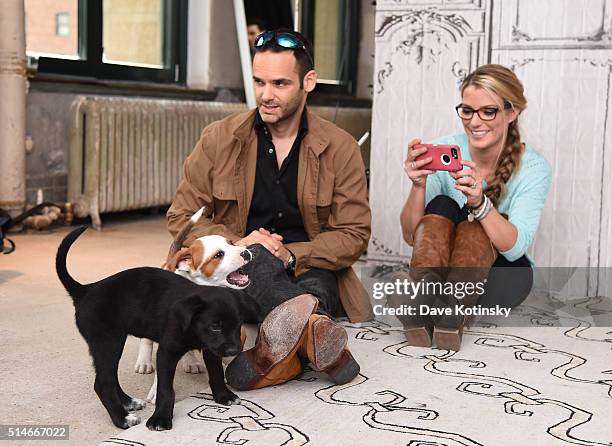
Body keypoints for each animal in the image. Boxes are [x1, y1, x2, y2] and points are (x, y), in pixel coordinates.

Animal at [55, 228, 258, 430]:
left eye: (237, 324)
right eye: (215, 326)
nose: (246, 252)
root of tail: (85, 290)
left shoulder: (212, 349)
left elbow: (216, 373)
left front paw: (223, 396)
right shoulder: (167, 351)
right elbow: (165, 388)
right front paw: (160, 418)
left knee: (110, 377)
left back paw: (129, 402)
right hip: (108, 343)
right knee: (103, 382)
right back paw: (122, 418)